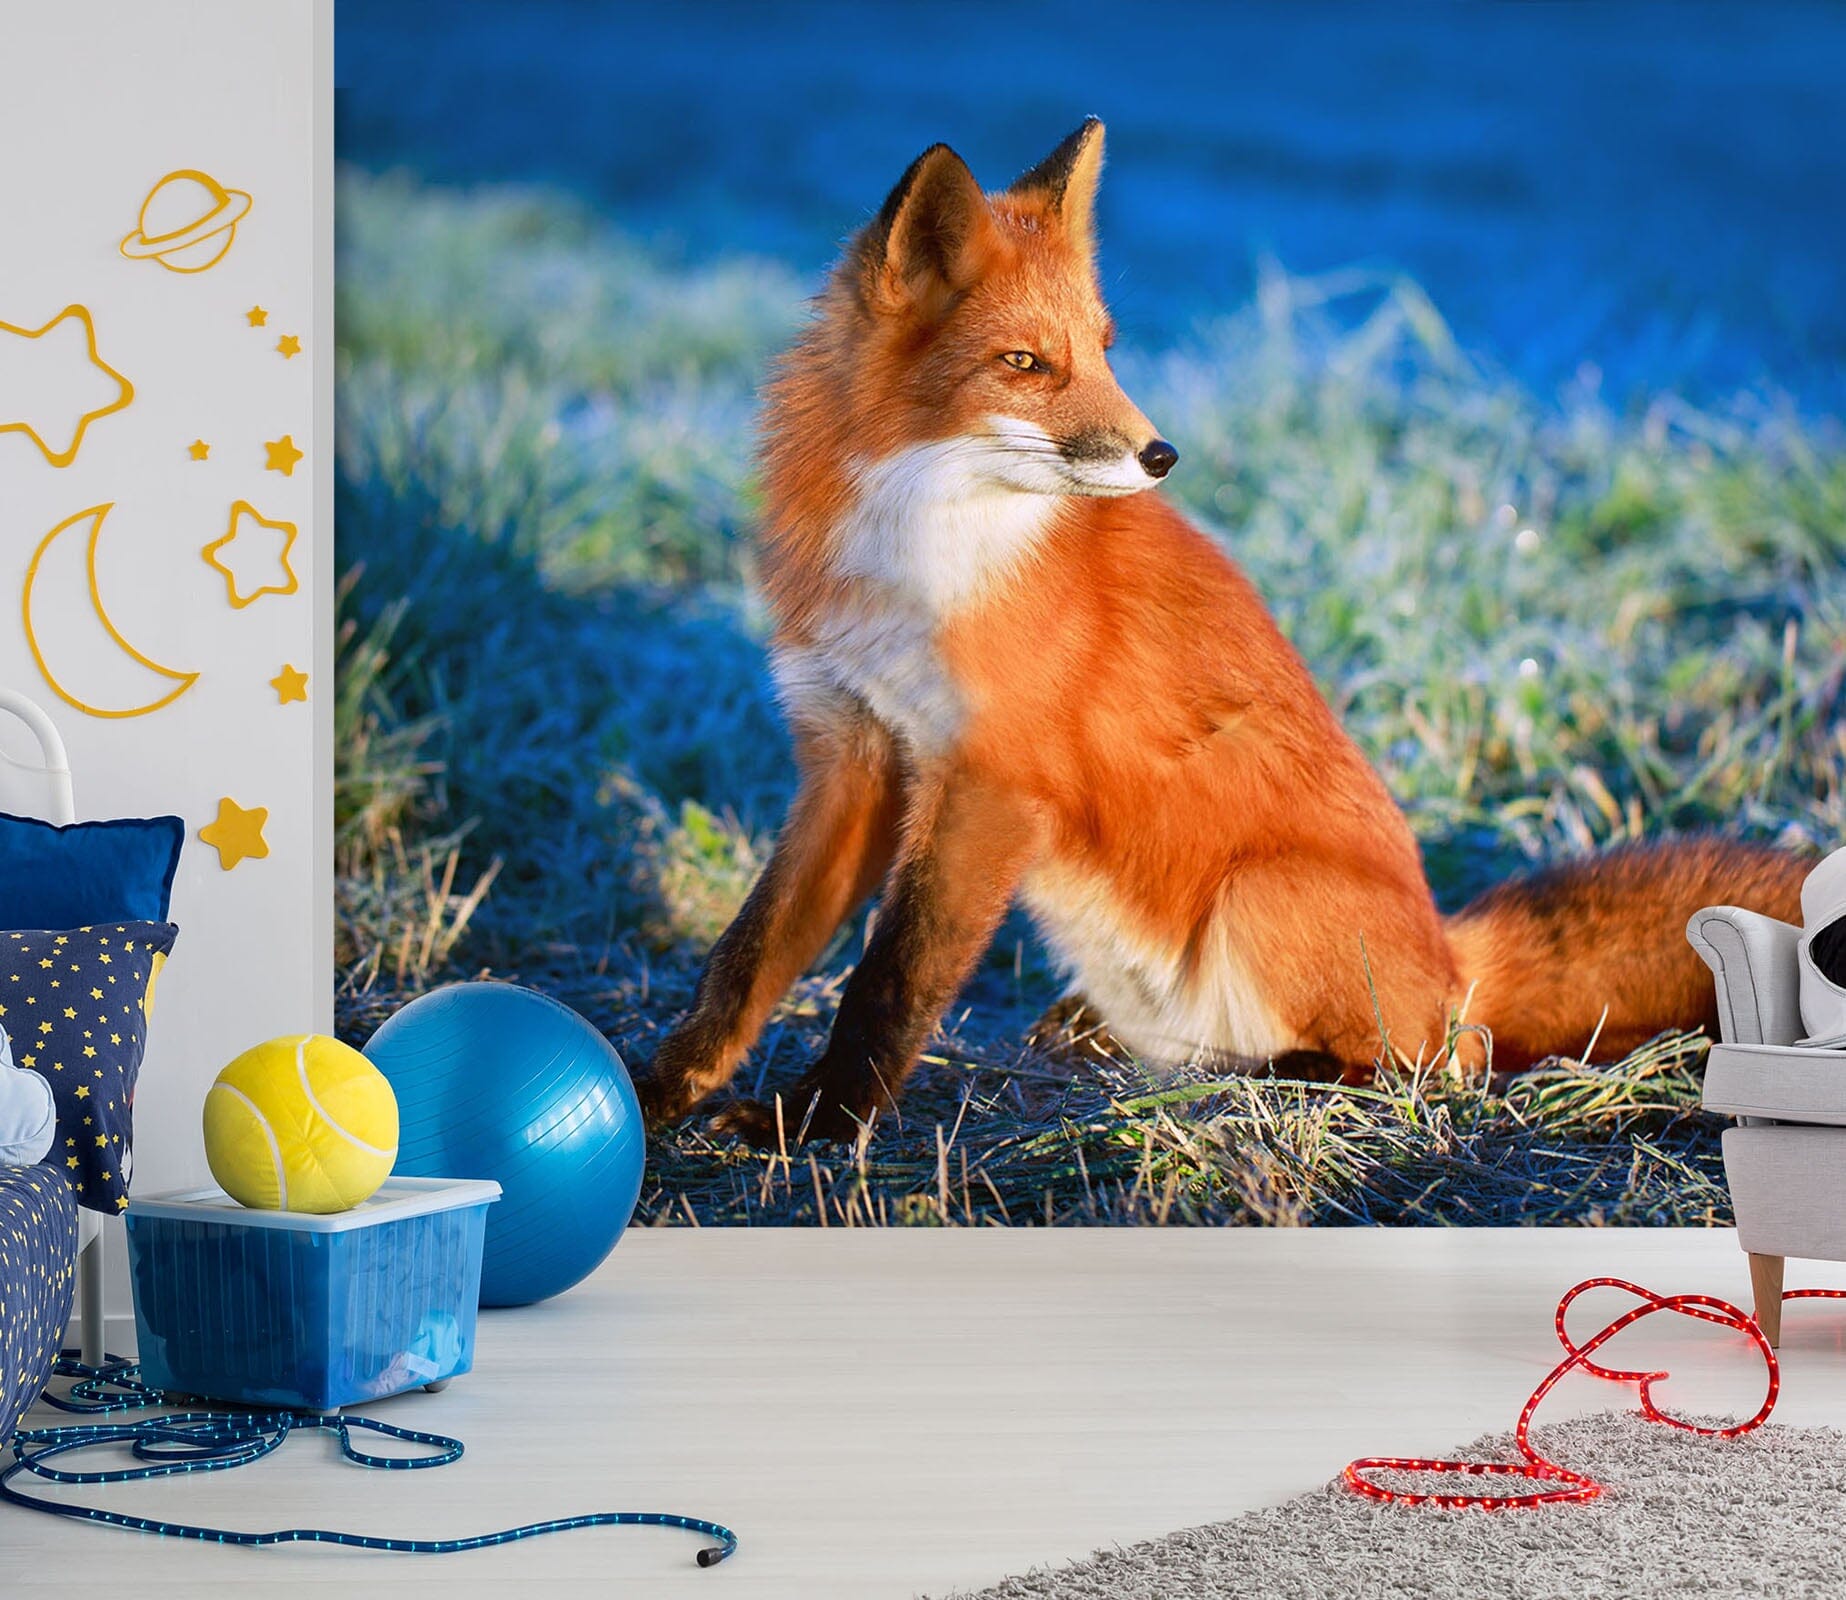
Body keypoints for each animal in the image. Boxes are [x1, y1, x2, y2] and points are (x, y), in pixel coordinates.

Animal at [638, 117, 1809, 1145]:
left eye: (1104, 348)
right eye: (1024, 363)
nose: (1160, 455)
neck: (916, 553)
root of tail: (1449, 952)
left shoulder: (987, 781)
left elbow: (892, 982)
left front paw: (813, 1129)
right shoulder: (851, 754)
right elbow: (746, 957)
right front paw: (659, 1098)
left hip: (1261, 894)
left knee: (1438, 1064)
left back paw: (1284, 1080)